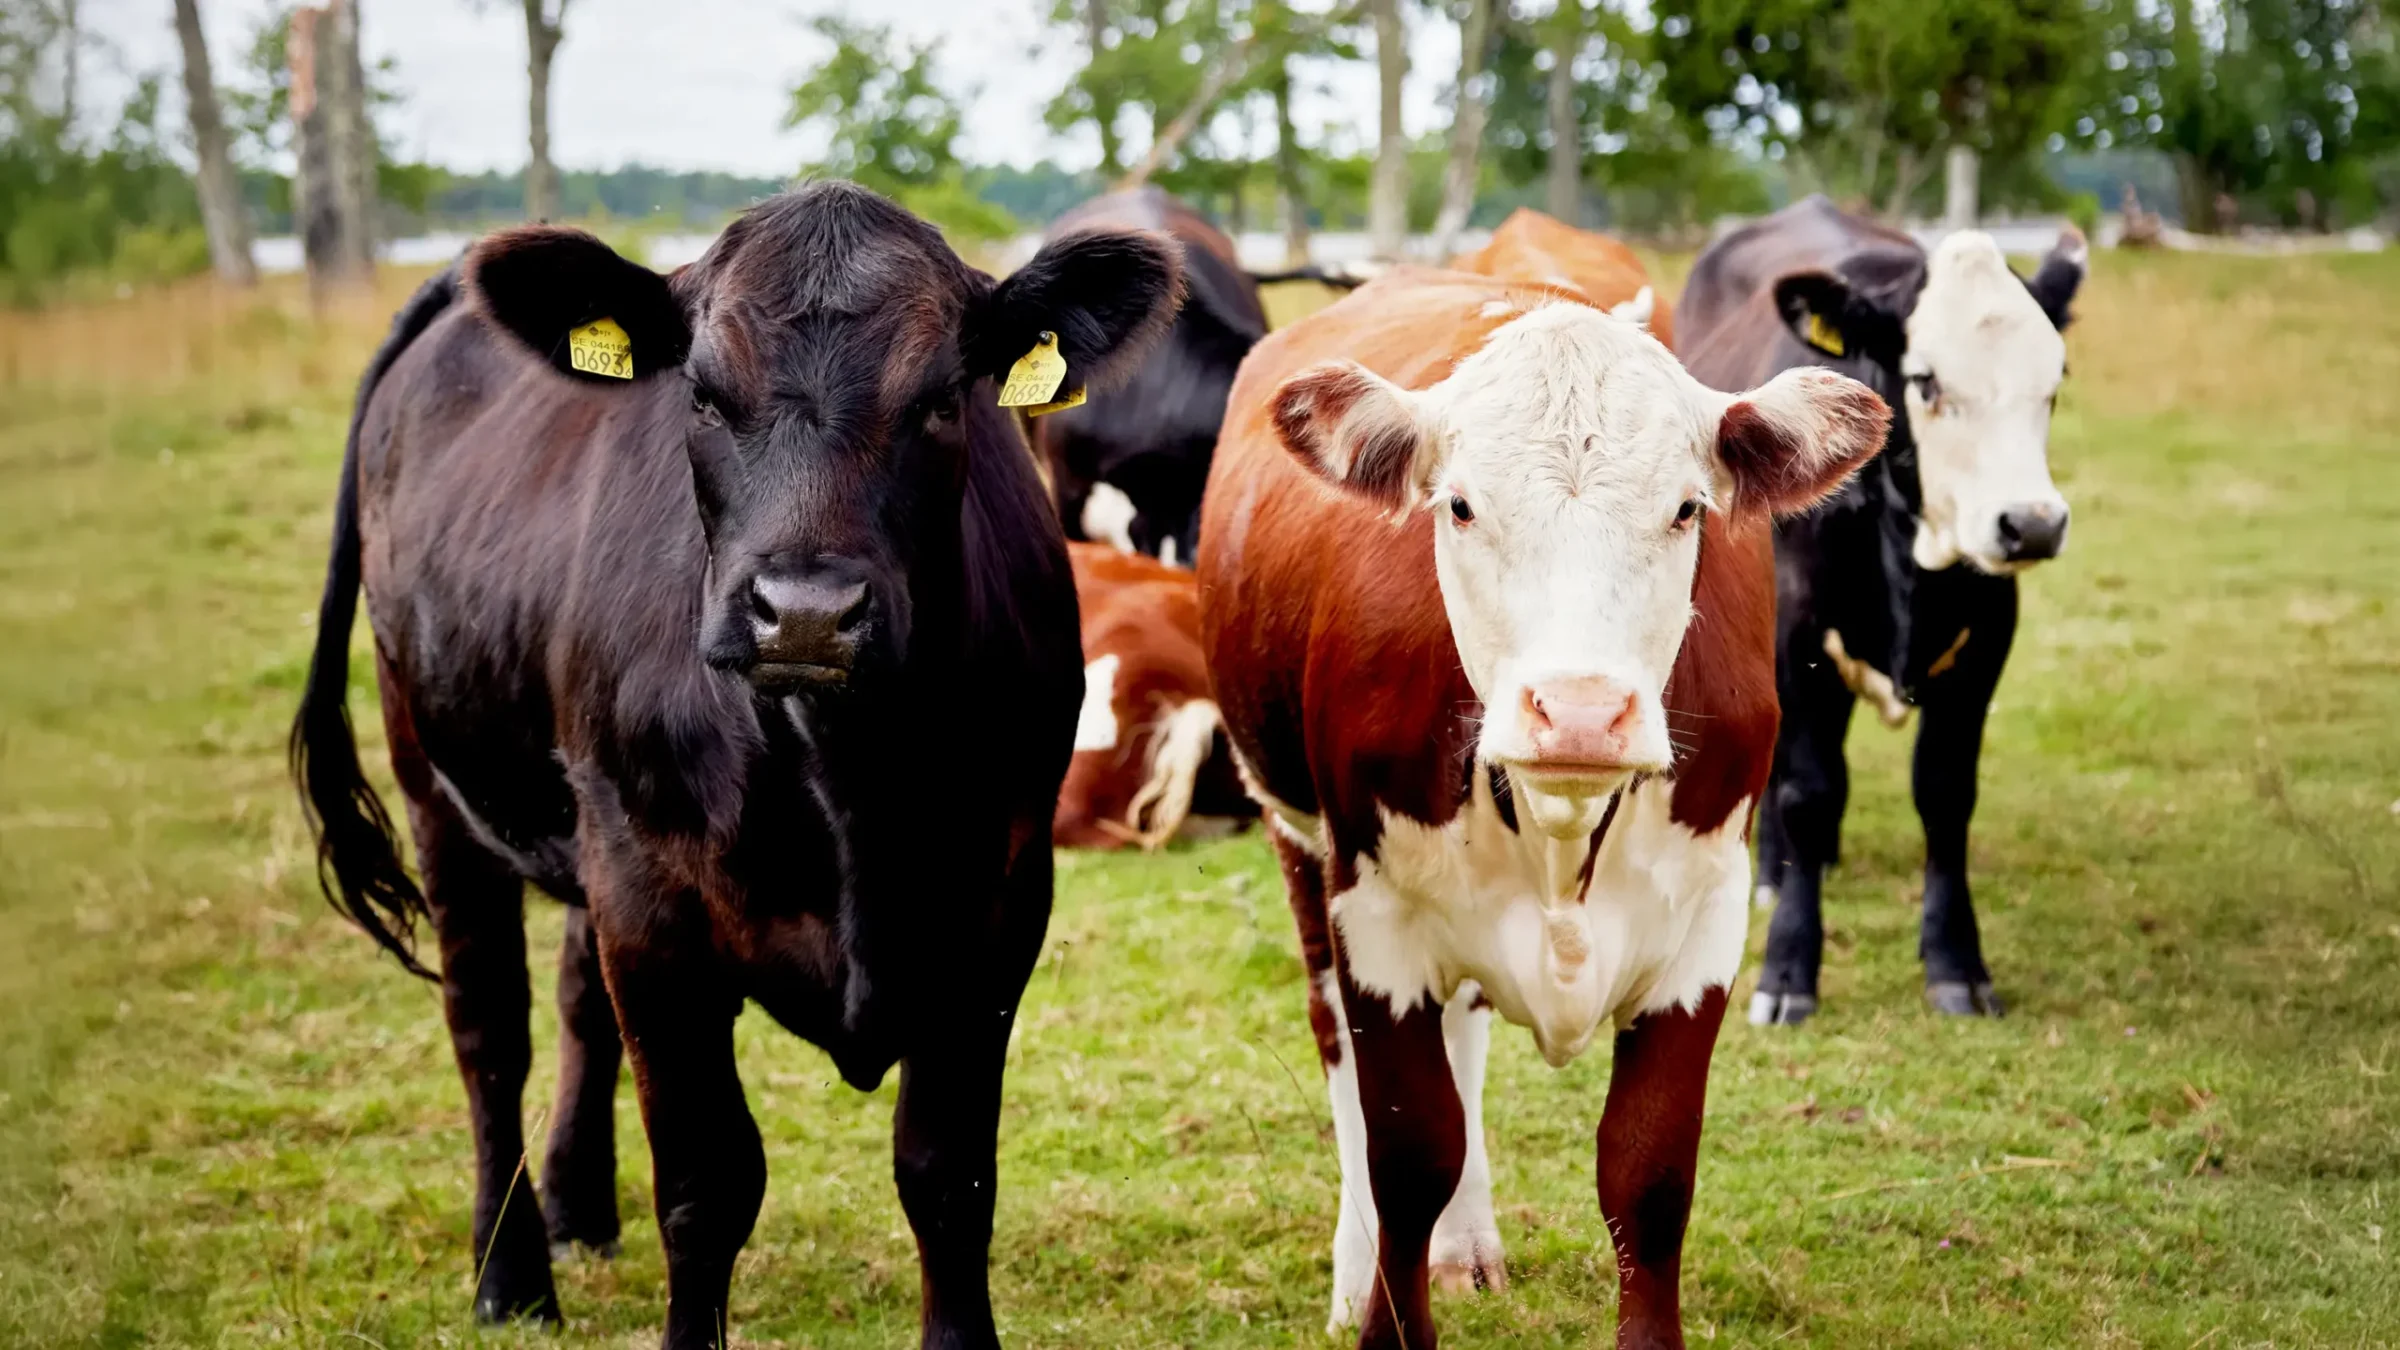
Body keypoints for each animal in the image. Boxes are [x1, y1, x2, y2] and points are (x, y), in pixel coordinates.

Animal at [290, 181, 1180, 1345]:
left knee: (575, 1001)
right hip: (435, 775)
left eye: (945, 398)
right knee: (488, 1031)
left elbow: (949, 1175)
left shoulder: (999, 898)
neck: (849, 774)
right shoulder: (656, 910)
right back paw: (510, 1272)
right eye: (704, 397)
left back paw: (579, 1208)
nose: (803, 613)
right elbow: (707, 1184)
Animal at [1680, 194, 2092, 1023]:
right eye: (1926, 381)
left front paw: (1957, 962)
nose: (2032, 524)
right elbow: (1807, 790)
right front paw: (1788, 969)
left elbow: (1945, 792)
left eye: (2054, 379)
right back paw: (1775, 874)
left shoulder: (1987, 639)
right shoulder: (1798, 634)